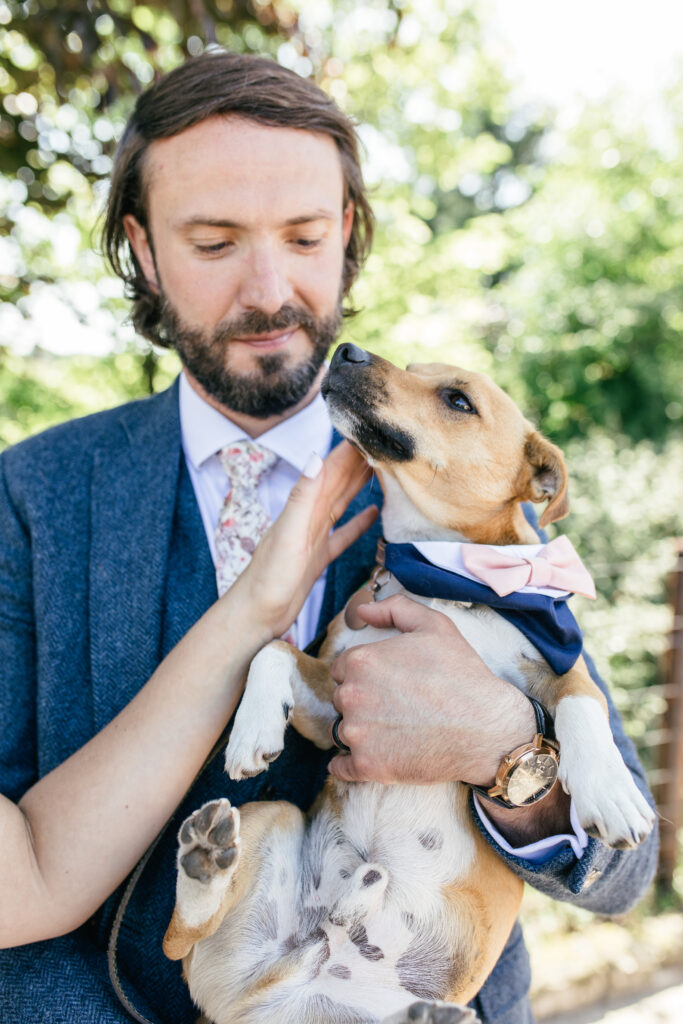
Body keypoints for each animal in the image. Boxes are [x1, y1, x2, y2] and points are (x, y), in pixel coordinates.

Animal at [161, 346, 655, 1024]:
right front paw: (251, 730)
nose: (348, 351)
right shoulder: (333, 703)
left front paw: (610, 791)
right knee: (179, 936)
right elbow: (271, 650)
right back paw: (206, 863)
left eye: (457, 399)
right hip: (270, 822)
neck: (441, 574)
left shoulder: (561, 661)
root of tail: (298, 986)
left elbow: (586, 700)